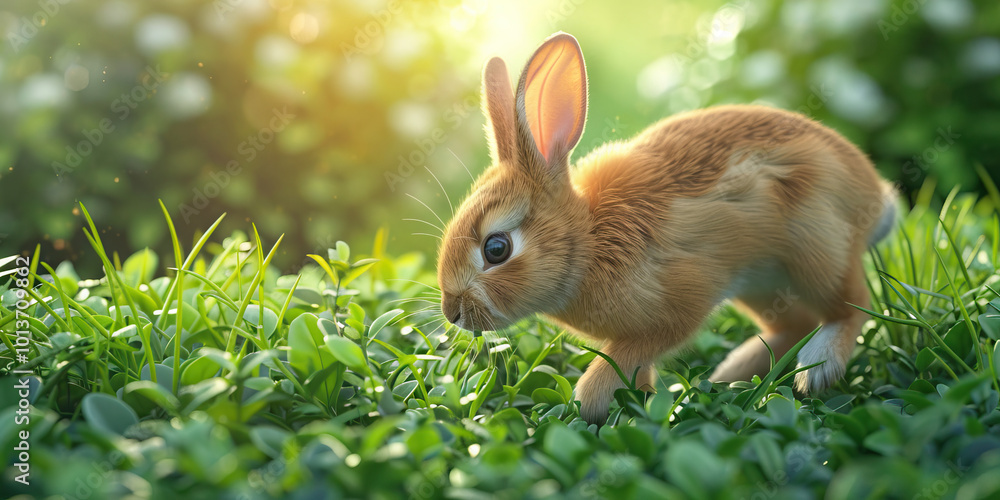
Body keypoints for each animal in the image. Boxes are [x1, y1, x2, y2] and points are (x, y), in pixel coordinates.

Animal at [436, 32, 897, 424]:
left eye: (496, 248)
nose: (452, 312)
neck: (588, 242)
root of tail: (877, 202)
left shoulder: (679, 304)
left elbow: (626, 357)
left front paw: (593, 400)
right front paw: (636, 401)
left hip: (817, 250)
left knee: (852, 305)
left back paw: (817, 368)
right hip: (761, 285)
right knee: (792, 324)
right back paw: (730, 373)